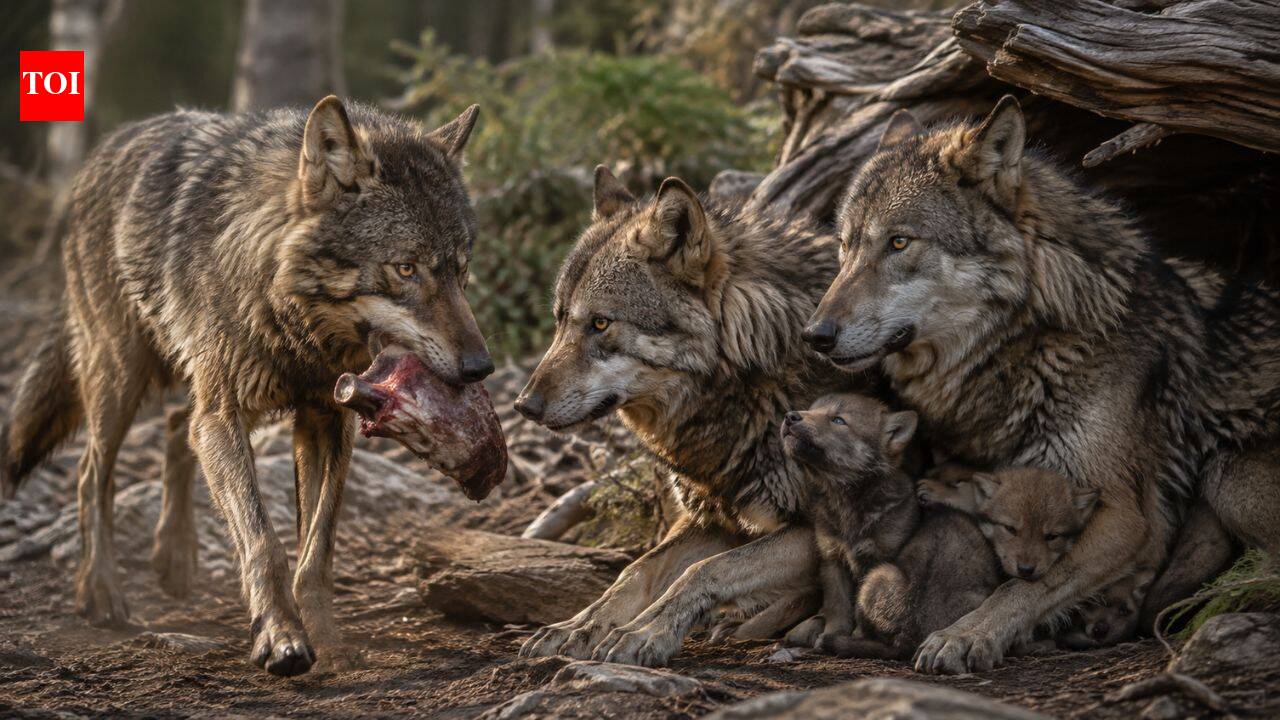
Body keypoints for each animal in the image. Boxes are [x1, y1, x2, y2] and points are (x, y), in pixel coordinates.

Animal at [1, 97, 492, 676]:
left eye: (461, 271)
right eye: (406, 268)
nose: (480, 367)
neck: (296, 325)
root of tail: (103, 151)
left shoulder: (325, 419)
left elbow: (317, 549)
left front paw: (327, 639)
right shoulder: (228, 414)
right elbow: (264, 542)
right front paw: (280, 637)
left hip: (197, 386)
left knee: (177, 426)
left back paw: (174, 556)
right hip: (122, 378)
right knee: (90, 473)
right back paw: (100, 592)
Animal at [516, 166, 856, 666]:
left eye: (600, 323)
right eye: (559, 320)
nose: (523, 405)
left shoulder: (819, 528)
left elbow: (703, 572)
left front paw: (646, 633)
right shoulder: (713, 516)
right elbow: (637, 571)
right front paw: (580, 626)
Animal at [803, 95, 1280, 674]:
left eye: (898, 242)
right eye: (845, 246)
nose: (815, 335)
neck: (1031, 341)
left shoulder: (1125, 517)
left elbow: (1027, 586)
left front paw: (962, 635)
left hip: (1227, 473)